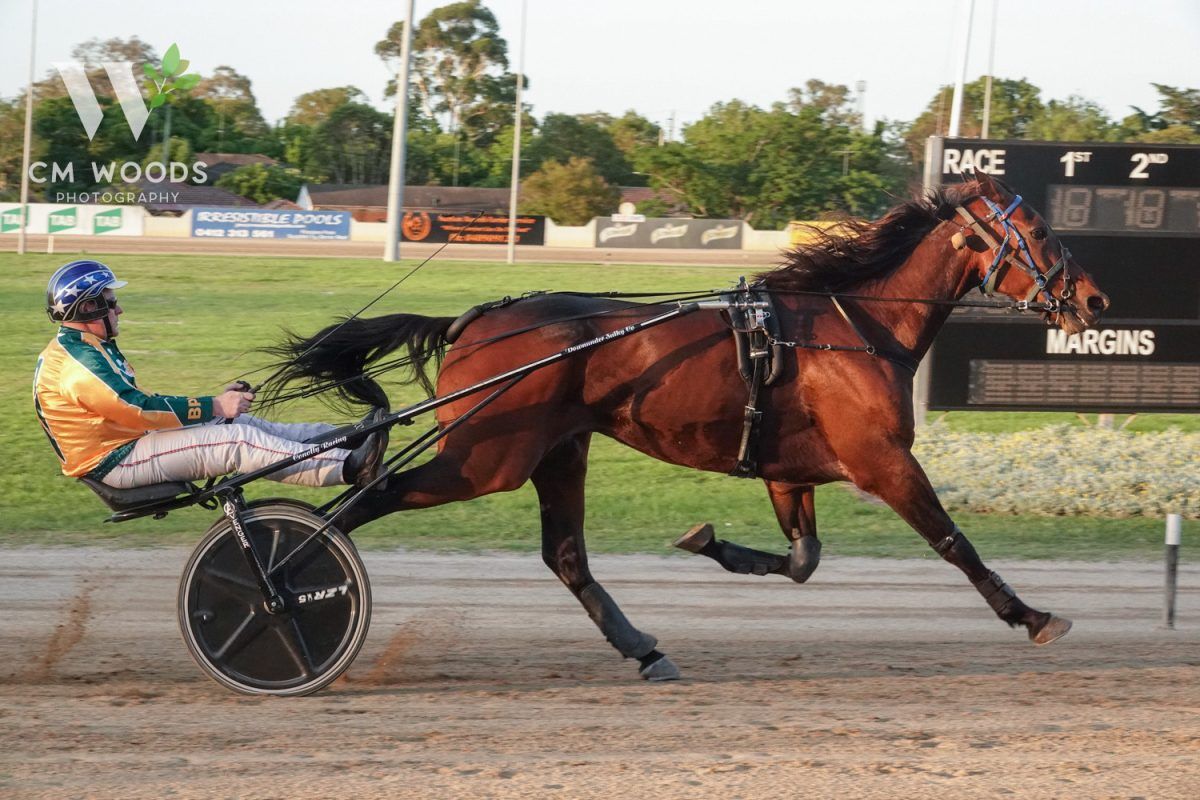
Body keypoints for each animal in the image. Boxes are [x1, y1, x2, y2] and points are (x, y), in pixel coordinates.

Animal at [267, 173, 1108, 681]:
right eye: (1037, 228)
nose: (1094, 300)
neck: (855, 325)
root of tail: (474, 320)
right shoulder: (882, 460)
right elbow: (953, 541)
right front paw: (1032, 616)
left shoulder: (790, 471)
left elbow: (801, 561)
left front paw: (708, 541)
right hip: (487, 456)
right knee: (365, 500)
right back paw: (280, 587)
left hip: (557, 450)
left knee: (565, 555)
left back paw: (645, 651)